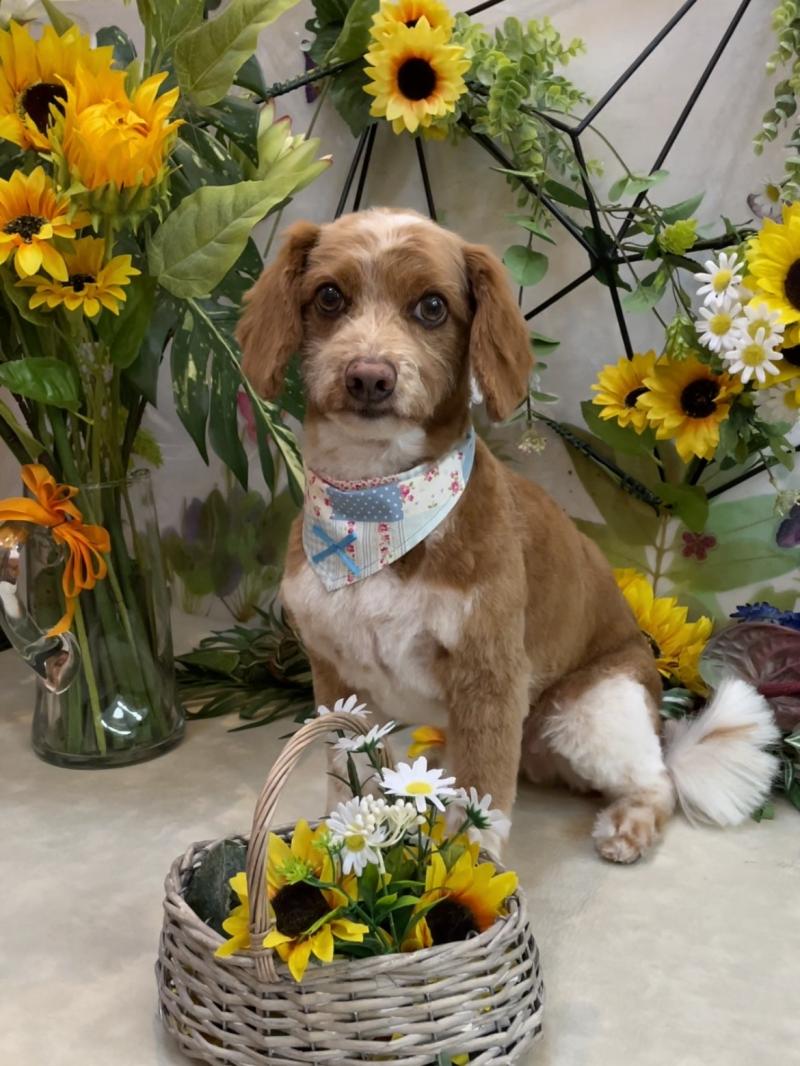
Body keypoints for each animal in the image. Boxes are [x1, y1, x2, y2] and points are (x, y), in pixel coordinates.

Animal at [238, 207, 779, 863]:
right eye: (328, 296)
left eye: (433, 306)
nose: (369, 376)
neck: (376, 513)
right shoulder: (338, 678)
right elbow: (352, 783)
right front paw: (348, 852)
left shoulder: (488, 677)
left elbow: (480, 814)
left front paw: (461, 882)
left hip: (592, 709)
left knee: (661, 780)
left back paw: (629, 824)